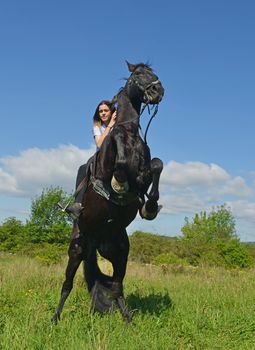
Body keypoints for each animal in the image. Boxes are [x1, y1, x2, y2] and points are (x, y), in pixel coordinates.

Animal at [52, 62, 164, 322]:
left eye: (153, 73)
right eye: (138, 74)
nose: (159, 91)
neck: (129, 132)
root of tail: (95, 241)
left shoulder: (144, 176)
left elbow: (157, 164)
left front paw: (150, 206)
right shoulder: (111, 160)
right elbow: (120, 164)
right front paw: (119, 185)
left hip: (120, 254)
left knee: (116, 286)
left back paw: (128, 320)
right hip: (76, 251)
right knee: (67, 284)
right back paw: (55, 318)